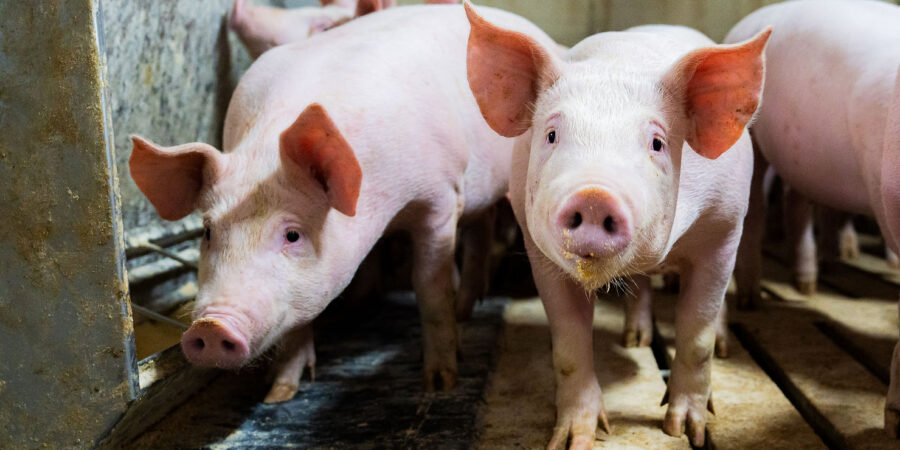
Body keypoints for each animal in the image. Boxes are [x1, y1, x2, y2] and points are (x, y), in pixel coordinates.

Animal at [129, 3, 558, 403]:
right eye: (207, 232)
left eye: (292, 234)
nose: (210, 327)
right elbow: (301, 316)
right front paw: (279, 393)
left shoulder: (440, 197)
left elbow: (429, 288)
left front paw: (439, 384)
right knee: (481, 227)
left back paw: (466, 312)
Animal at [464, 4, 769, 447]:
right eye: (552, 134)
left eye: (657, 143)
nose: (594, 194)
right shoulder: (540, 253)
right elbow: (568, 347)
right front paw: (574, 439)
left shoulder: (723, 228)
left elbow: (697, 334)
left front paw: (684, 431)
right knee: (638, 287)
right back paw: (636, 340)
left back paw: (723, 346)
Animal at [726, 0, 900, 436]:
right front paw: (894, 423)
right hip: (752, 137)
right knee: (755, 213)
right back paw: (753, 302)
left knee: (796, 202)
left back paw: (807, 287)